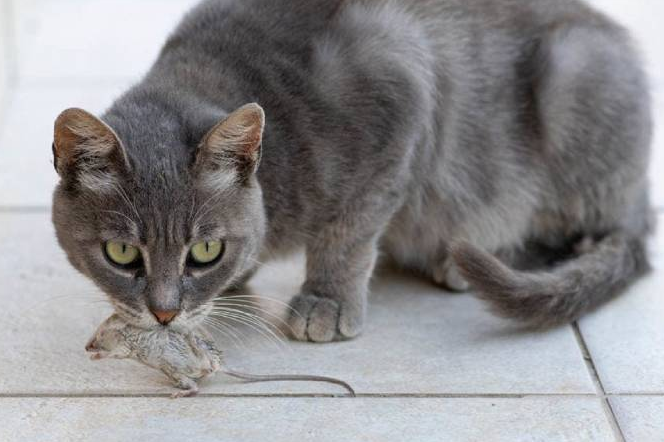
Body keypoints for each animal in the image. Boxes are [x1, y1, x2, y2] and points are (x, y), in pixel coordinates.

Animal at [52, 0, 652, 342]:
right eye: (121, 253)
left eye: (204, 250)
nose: (164, 314)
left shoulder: (400, 95)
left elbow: (349, 232)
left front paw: (327, 301)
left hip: (573, 79)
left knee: (582, 231)